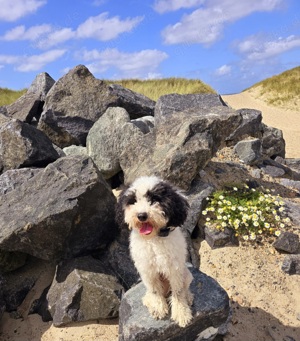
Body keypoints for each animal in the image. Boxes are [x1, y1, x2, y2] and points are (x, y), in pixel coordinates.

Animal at [116, 175, 193, 326]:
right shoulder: (147, 270)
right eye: (133, 201)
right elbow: (155, 291)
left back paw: (188, 297)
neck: (154, 239)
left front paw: (181, 313)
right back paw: (148, 300)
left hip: (186, 274)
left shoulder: (175, 269)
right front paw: (158, 307)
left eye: (155, 199)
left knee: (184, 288)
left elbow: (178, 292)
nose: (141, 215)